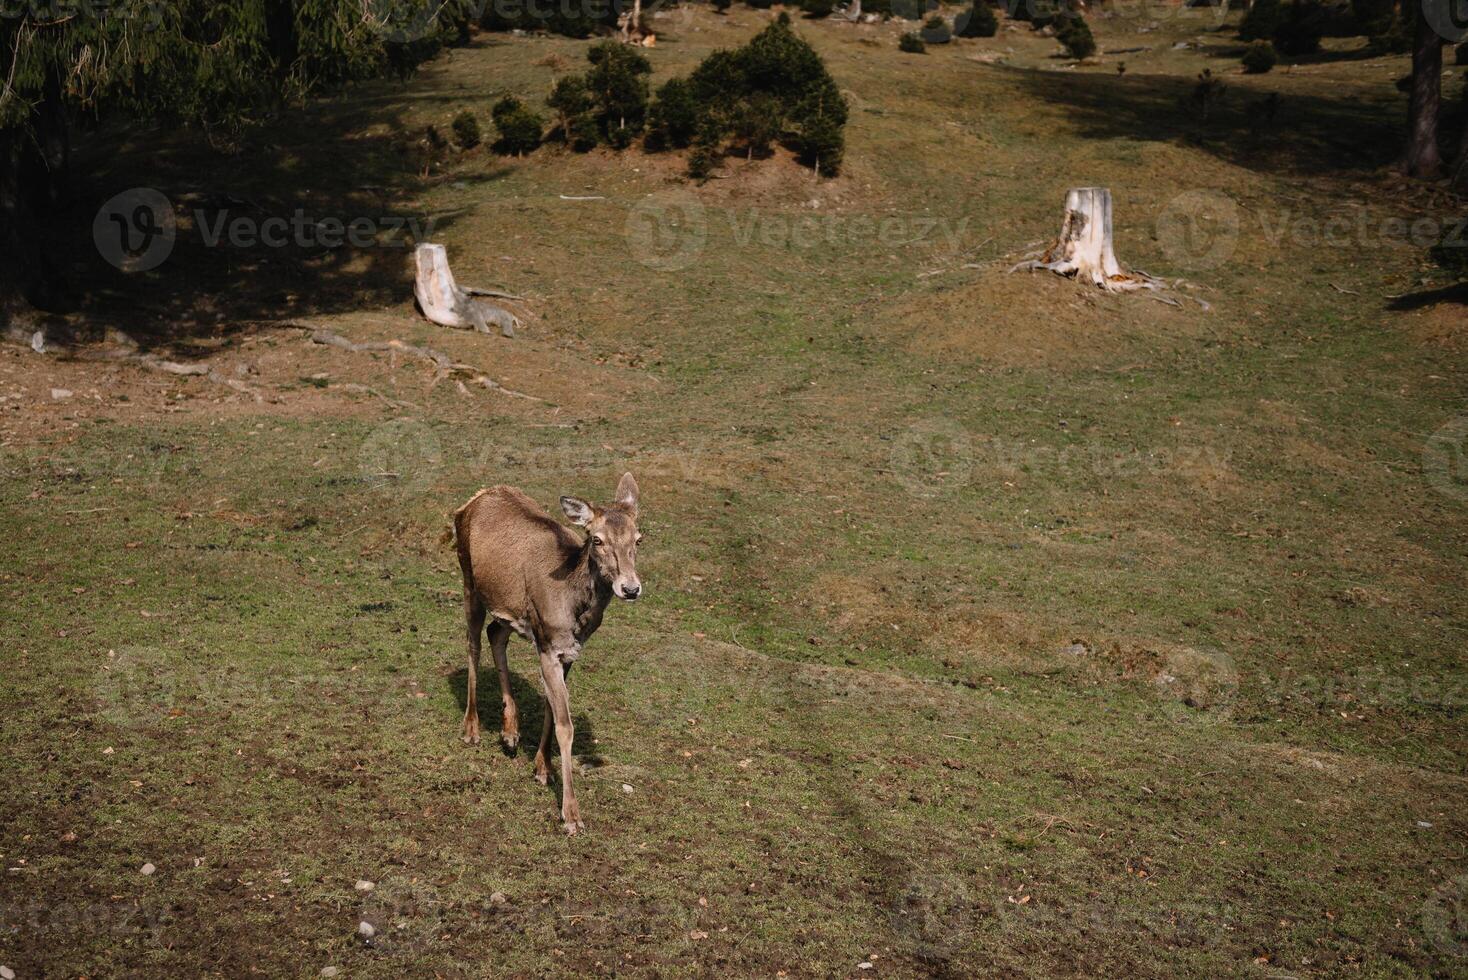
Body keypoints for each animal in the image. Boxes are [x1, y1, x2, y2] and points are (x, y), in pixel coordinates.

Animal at [449, 475, 640, 833]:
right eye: (596, 539)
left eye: (639, 537)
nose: (631, 588)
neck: (574, 609)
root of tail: (473, 499)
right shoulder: (549, 645)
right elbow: (566, 725)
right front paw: (571, 815)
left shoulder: (568, 650)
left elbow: (552, 708)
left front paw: (542, 768)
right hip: (468, 579)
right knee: (472, 643)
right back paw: (471, 729)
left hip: (511, 609)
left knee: (495, 633)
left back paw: (510, 732)